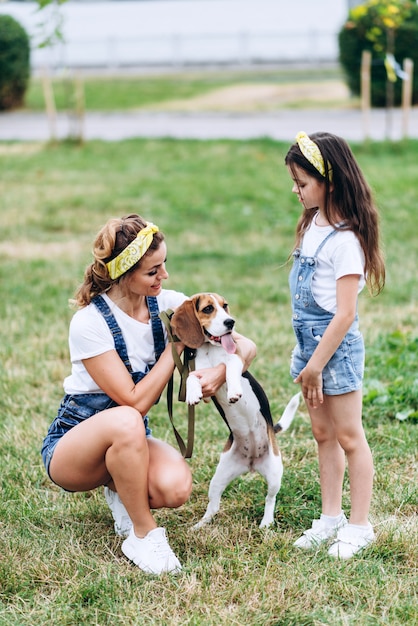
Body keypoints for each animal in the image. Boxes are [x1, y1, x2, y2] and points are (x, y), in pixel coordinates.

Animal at [171, 292, 300, 528]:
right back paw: (200, 525)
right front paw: (192, 394)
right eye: (208, 309)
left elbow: (229, 366)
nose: (230, 323)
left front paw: (234, 392)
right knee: (213, 506)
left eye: (225, 306)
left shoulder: (237, 358)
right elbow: (192, 377)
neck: (210, 349)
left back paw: (266, 522)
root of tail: (251, 463)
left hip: (275, 473)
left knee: (270, 499)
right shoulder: (199, 375)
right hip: (219, 477)